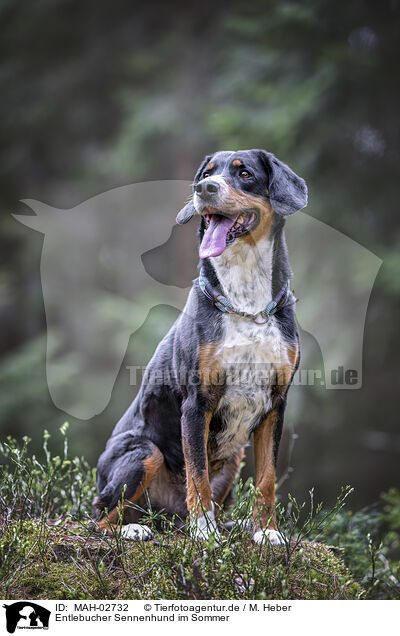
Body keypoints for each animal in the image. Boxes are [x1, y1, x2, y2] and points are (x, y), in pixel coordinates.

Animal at [95, 149, 308, 540]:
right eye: (207, 173)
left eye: (244, 173)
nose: (204, 188)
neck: (246, 303)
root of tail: (166, 517)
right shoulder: (197, 403)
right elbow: (198, 475)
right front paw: (205, 532)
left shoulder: (276, 404)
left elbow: (267, 478)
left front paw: (267, 532)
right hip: (143, 452)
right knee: (100, 515)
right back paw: (135, 529)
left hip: (234, 457)